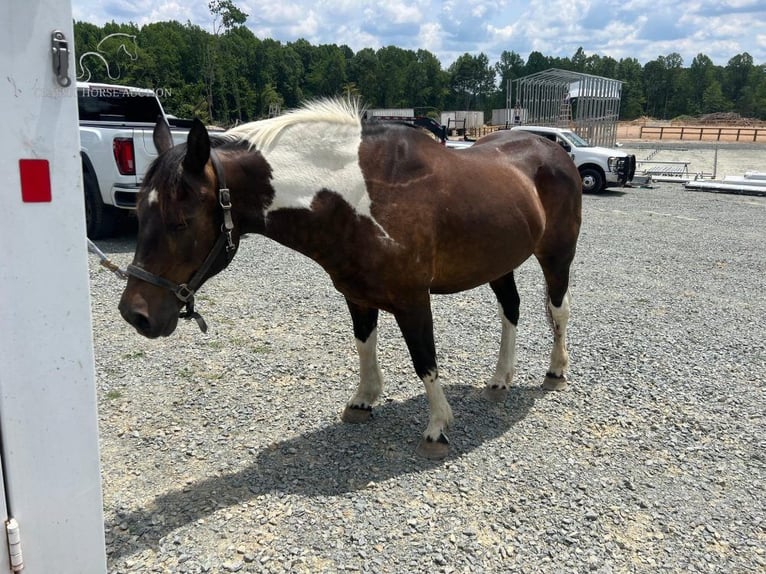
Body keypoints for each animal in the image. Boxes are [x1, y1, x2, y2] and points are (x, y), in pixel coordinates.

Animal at [120, 99, 584, 460]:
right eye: (138, 213)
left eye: (181, 221)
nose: (135, 314)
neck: (358, 196)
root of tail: (555, 150)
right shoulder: (357, 296)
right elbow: (364, 345)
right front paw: (363, 401)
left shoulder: (413, 300)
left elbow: (424, 360)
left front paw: (437, 428)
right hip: (498, 261)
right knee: (511, 310)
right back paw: (500, 379)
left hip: (556, 256)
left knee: (558, 310)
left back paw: (556, 372)